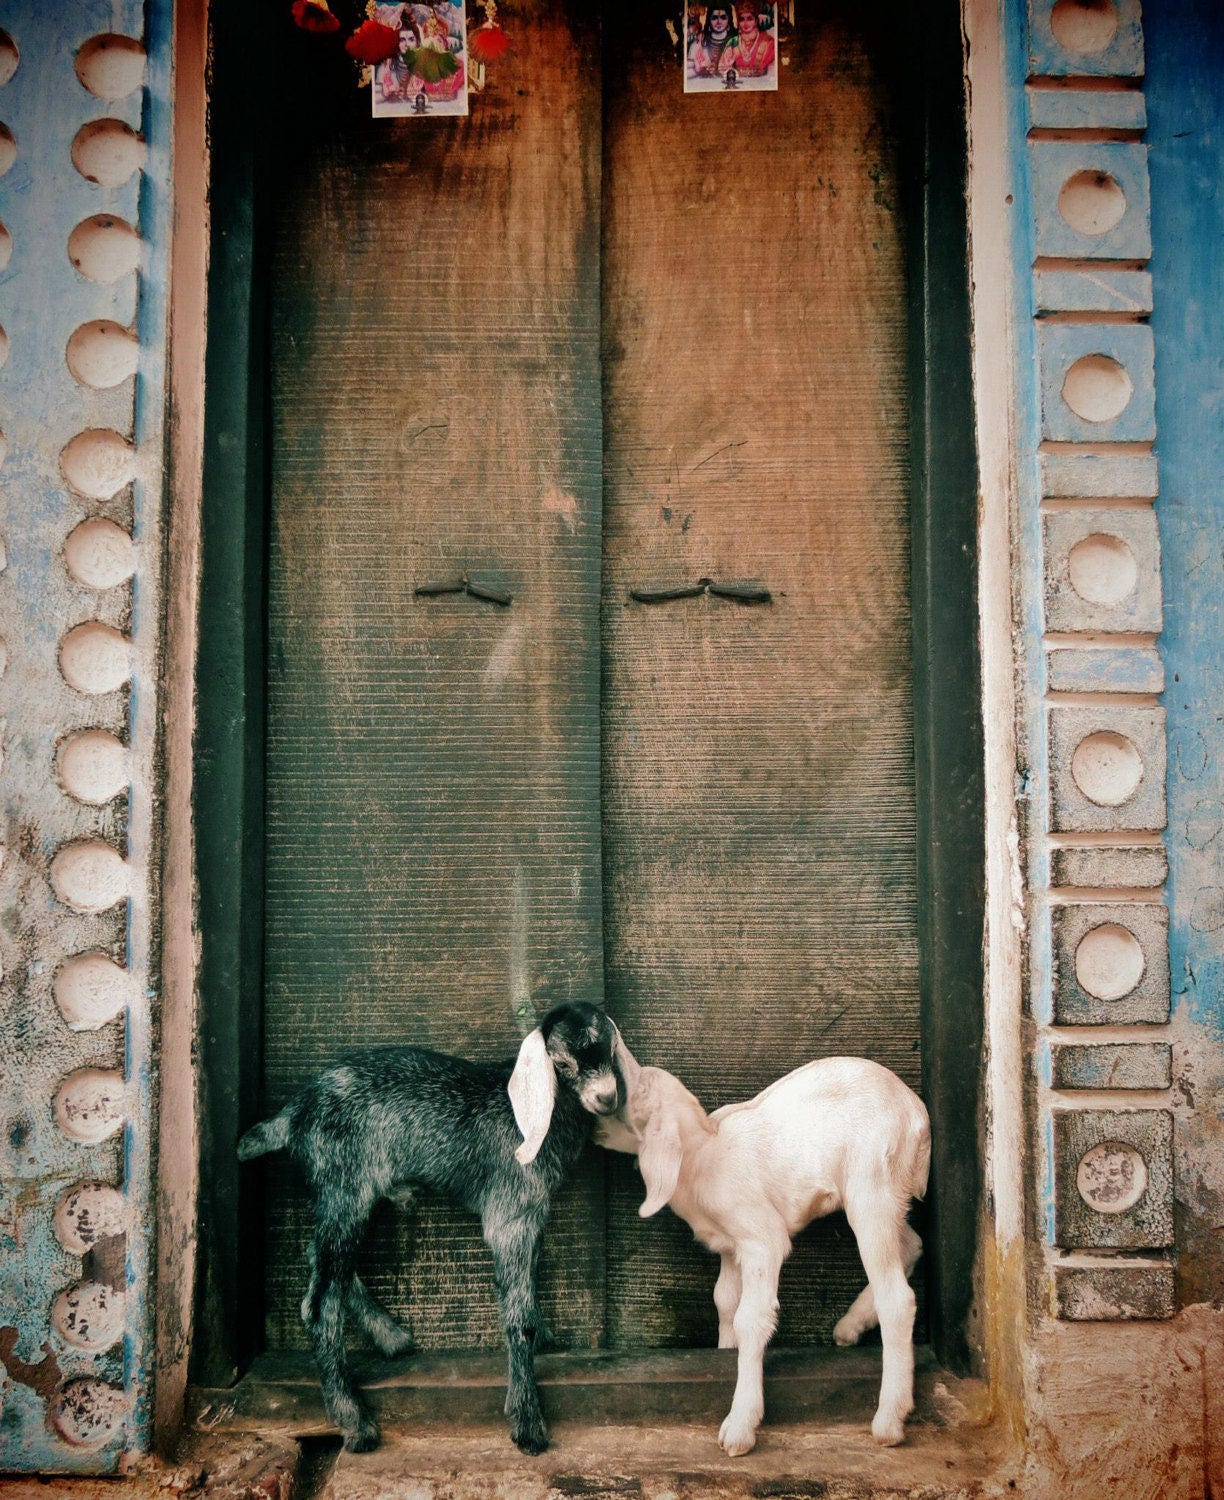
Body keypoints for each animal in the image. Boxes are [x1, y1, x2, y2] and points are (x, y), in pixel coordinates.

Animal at [238, 1001, 636, 1455]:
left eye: (610, 1049)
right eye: (562, 1062)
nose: (607, 1097)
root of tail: (291, 1115)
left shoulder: (533, 1213)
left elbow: (527, 1286)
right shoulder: (511, 1212)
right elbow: (517, 1314)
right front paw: (527, 1423)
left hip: (346, 1195)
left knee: (321, 1258)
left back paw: (390, 1336)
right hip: (343, 1186)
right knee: (320, 1303)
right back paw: (355, 1422)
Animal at [597, 1057, 930, 1455]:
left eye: (630, 1100)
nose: (593, 1127)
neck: (703, 1154)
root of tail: (916, 1111)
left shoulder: (762, 1238)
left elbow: (751, 1318)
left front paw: (740, 1424)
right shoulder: (731, 1246)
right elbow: (725, 1302)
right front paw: (726, 1350)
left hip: (873, 1185)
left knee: (896, 1297)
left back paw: (890, 1420)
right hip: (890, 1195)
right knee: (911, 1244)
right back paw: (851, 1326)